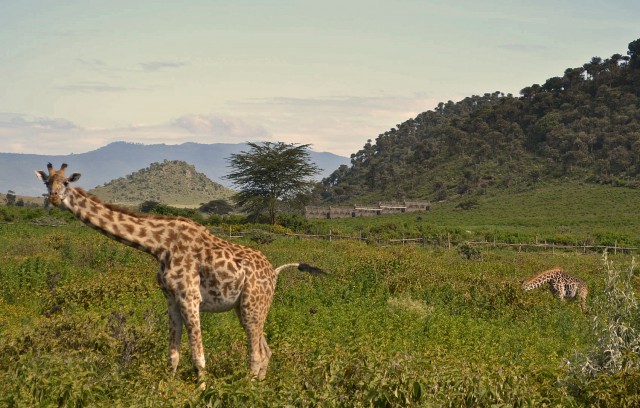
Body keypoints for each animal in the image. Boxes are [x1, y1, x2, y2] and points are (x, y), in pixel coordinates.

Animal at [35, 163, 324, 386]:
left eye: (66, 183)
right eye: (47, 182)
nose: (54, 198)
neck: (159, 246)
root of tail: (274, 273)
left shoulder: (190, 297)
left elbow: (198, 354)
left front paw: (202, 390)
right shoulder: (171, 299)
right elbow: (172, 354)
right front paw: (166, 388)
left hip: (253, 305)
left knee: (255, 354)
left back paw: (248, 389)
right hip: (247, 308)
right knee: (266, 350)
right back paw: (260, 386)